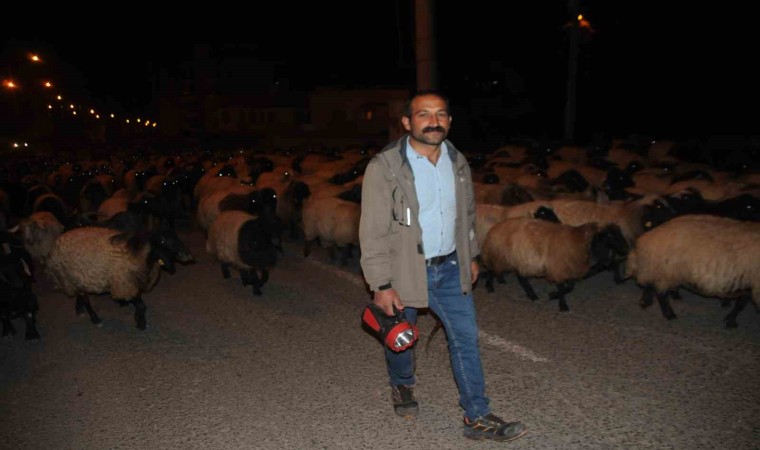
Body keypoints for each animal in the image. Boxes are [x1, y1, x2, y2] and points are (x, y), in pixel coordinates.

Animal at [43, 227, 196, 328]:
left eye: (177, 237)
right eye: (164, 241)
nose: (189, 256)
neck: (138, 253)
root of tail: (56, 242)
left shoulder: (132, 283)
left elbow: (140, 303)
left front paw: (135, 315)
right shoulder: (125, 283)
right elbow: (142, 305)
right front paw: (141, 323)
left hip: (77, 278)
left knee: (80, 294)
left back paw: (79, 310)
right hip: (70, 274)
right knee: (85, 299)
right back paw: (95, 319)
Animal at [624, 214, 760, 326]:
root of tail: (646, 238)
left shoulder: (746, 283)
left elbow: (740, 303)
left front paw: (728, 312)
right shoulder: (752, 284)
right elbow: (740, 305)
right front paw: (730, 321)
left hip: (658, 270)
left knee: (650, 285)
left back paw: (646, 301)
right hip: (663, 272)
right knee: (660, 293)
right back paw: (669, 314)